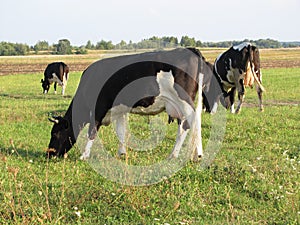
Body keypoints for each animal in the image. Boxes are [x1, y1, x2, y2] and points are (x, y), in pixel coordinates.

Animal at [45, 47, 214, 160]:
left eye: (55, 133)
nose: (49, 154)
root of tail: (190, 49)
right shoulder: (119, 110)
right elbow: (121, 131)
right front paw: (122, 153)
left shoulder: (98, 109)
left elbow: (92, 131)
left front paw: (85, 155)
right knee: (185, 125)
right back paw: (177, 154)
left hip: (183, 101)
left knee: (192, 123)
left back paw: (196, 154)